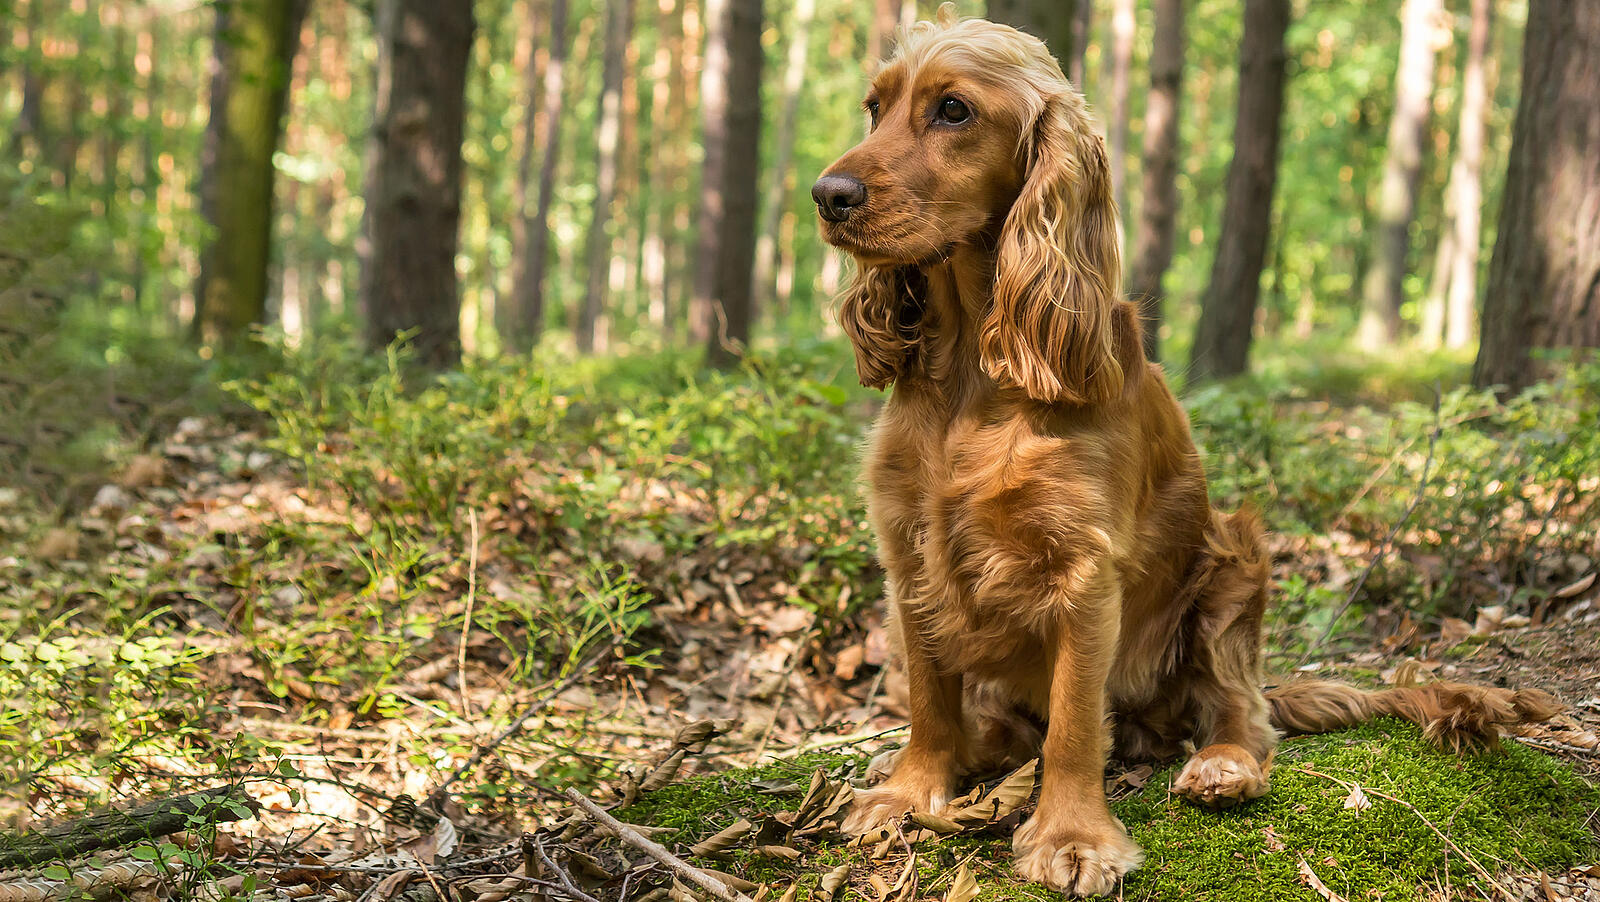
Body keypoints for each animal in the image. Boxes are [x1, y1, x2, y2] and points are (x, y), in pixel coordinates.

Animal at [812, 5, 1561, 895]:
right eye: (874, 107)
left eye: (953, 110)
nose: (827, 196)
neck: (972, 369)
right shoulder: (909, 550)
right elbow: (927, 693)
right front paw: (909, 791)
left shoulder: (1084, 567)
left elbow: (1073, 721)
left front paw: (1072, 837)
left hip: (1234, 564)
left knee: (1244, 713)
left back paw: (1222, 765)